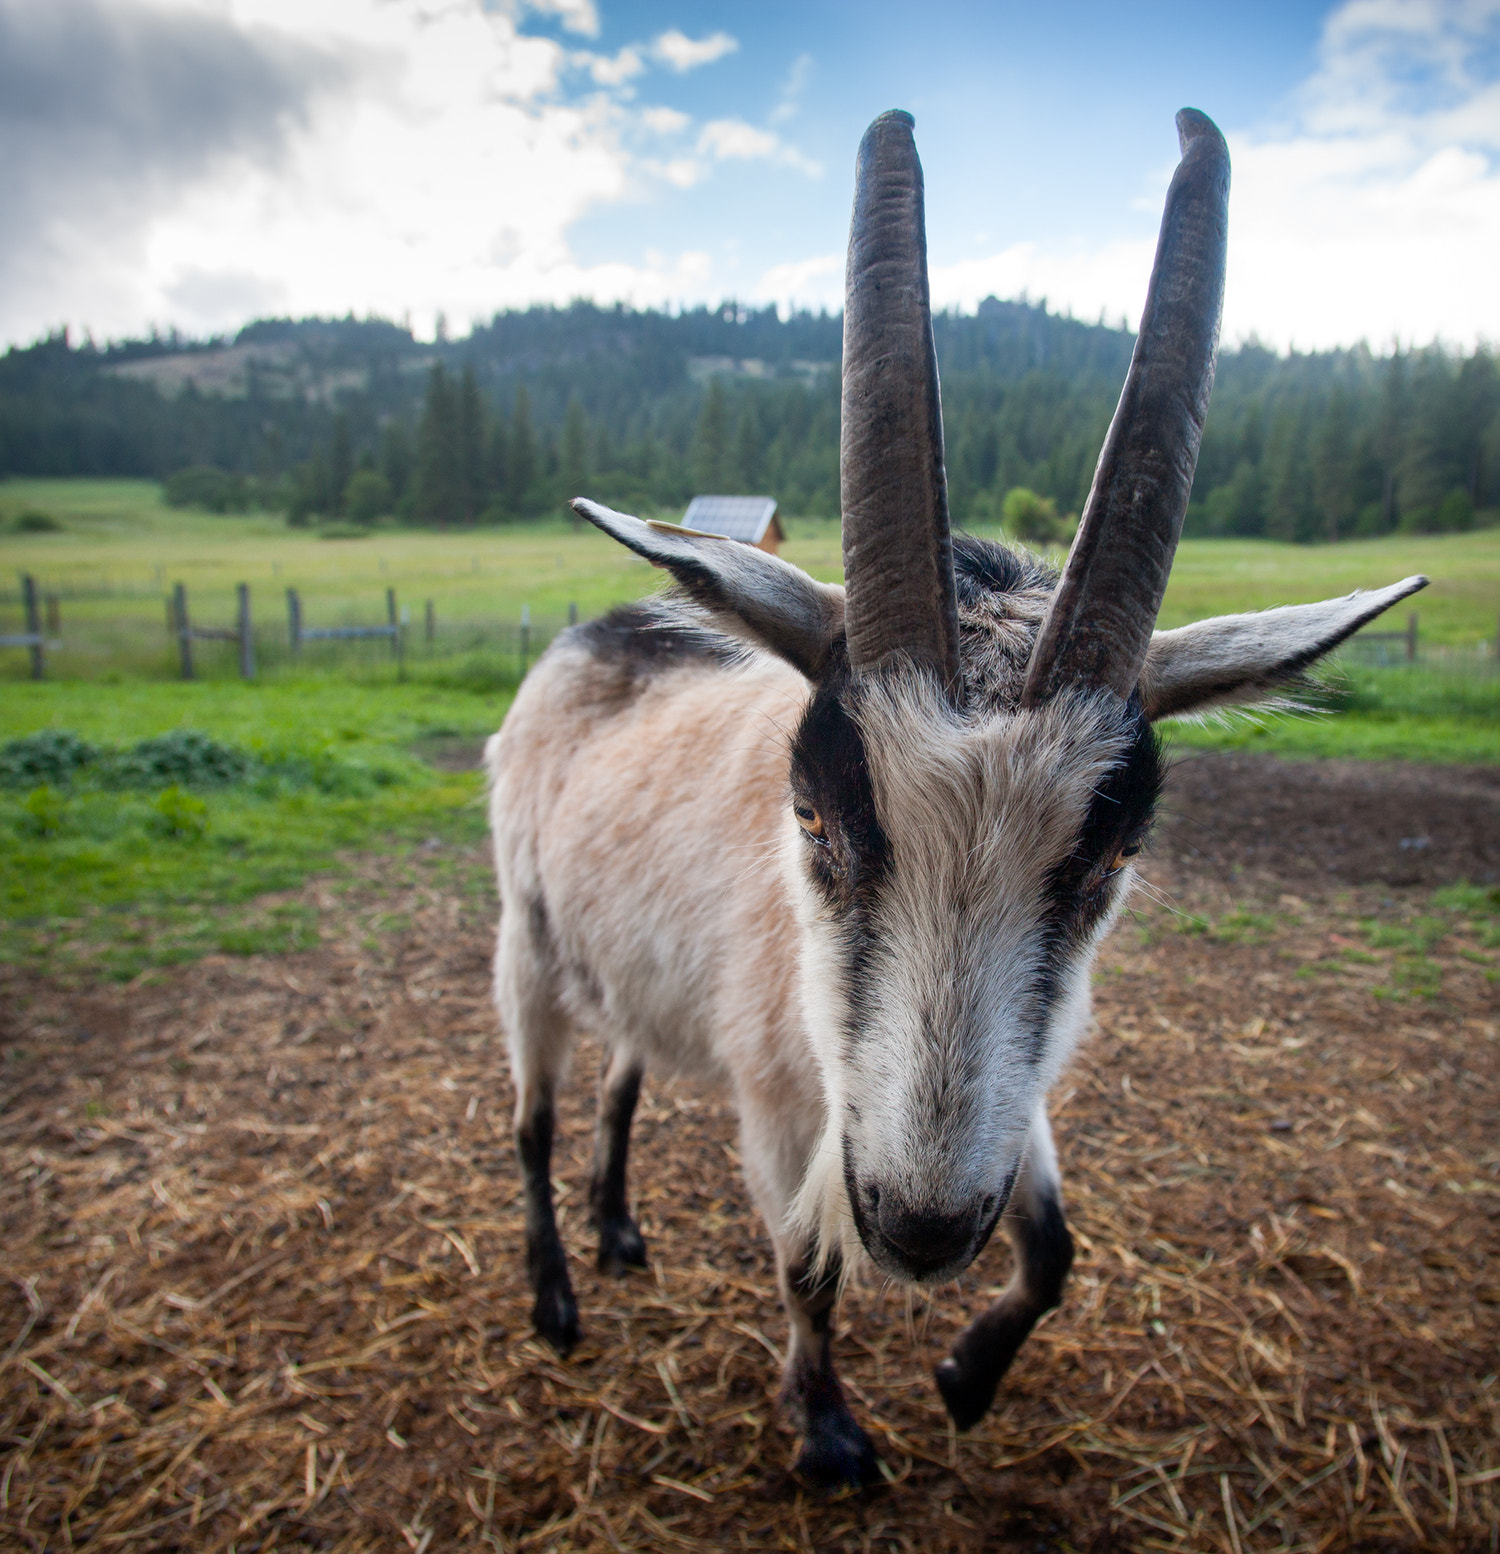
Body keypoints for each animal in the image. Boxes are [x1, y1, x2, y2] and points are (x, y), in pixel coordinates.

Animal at [486, 108, 1426, 1488]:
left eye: (1111, 856)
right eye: (814, 817)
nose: (924, 1231)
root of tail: (600, 631)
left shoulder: (1008, 1100)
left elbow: (1058, 1247)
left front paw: (965, 1380)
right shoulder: (793, 1100)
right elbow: (808, 1261)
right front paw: (829, 1432)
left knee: (624, 1073)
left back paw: (616, 1234)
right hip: (528, 943)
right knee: (536, 1120)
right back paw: (557, 1297)